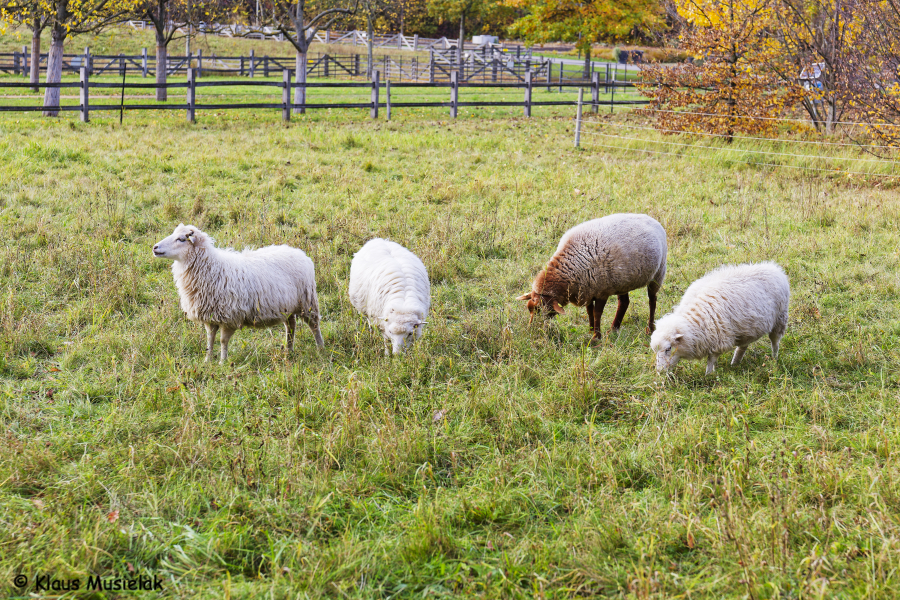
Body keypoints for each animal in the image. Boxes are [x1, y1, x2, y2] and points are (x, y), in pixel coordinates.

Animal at [153, 224, 324, 363]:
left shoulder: (230, 316)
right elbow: (210, 339)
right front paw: (207, 360)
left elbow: (223, 341)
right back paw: (289, 350)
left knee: (314, 325)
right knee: (291, 325)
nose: (154, 247)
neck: (211, 268)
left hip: (307, 301)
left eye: (181, 239)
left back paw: (320, 348)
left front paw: (222, 362)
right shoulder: (210, 315)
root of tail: (299, 253)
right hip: (288, 306)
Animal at [517, 213, 668, 342]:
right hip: (623, 281)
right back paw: (614, 328)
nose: (532, 330)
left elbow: (597, 313)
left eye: (542, 311)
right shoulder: (587, 289)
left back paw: (650, 328)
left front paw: (596, 336)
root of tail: (651, 219)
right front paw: (591, 330)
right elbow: (589, 310)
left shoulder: (602, 291)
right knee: (624, 302)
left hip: (658, 273)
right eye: (529, 309)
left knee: (652, 301)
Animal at [650, 262, 789, 375]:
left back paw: (774, 359)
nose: (659, 371)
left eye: (668, 348)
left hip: (780, 319)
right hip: (748, 328)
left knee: (775, 341)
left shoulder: (718, 339)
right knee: (743, 347)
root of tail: (774, 268)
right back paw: (735, 364)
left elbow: (711, 359)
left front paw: (708, 375)